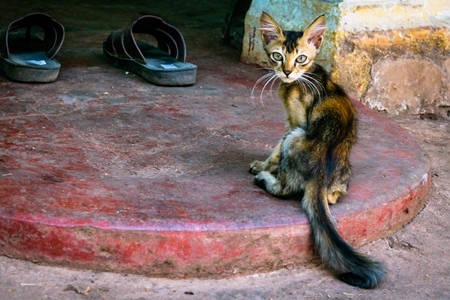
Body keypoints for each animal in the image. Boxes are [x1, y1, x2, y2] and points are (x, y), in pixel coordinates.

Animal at [250, 12, 384, 290]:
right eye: (277, 56)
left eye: (300, 58)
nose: (287, 72)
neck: (307, 74)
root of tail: (320, 175)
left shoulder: (295, 123)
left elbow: (277, 147)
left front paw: (264, 166)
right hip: (343, 171)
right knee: (332, 197)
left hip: (297, 138)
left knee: (285, 189)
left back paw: (266, 179)